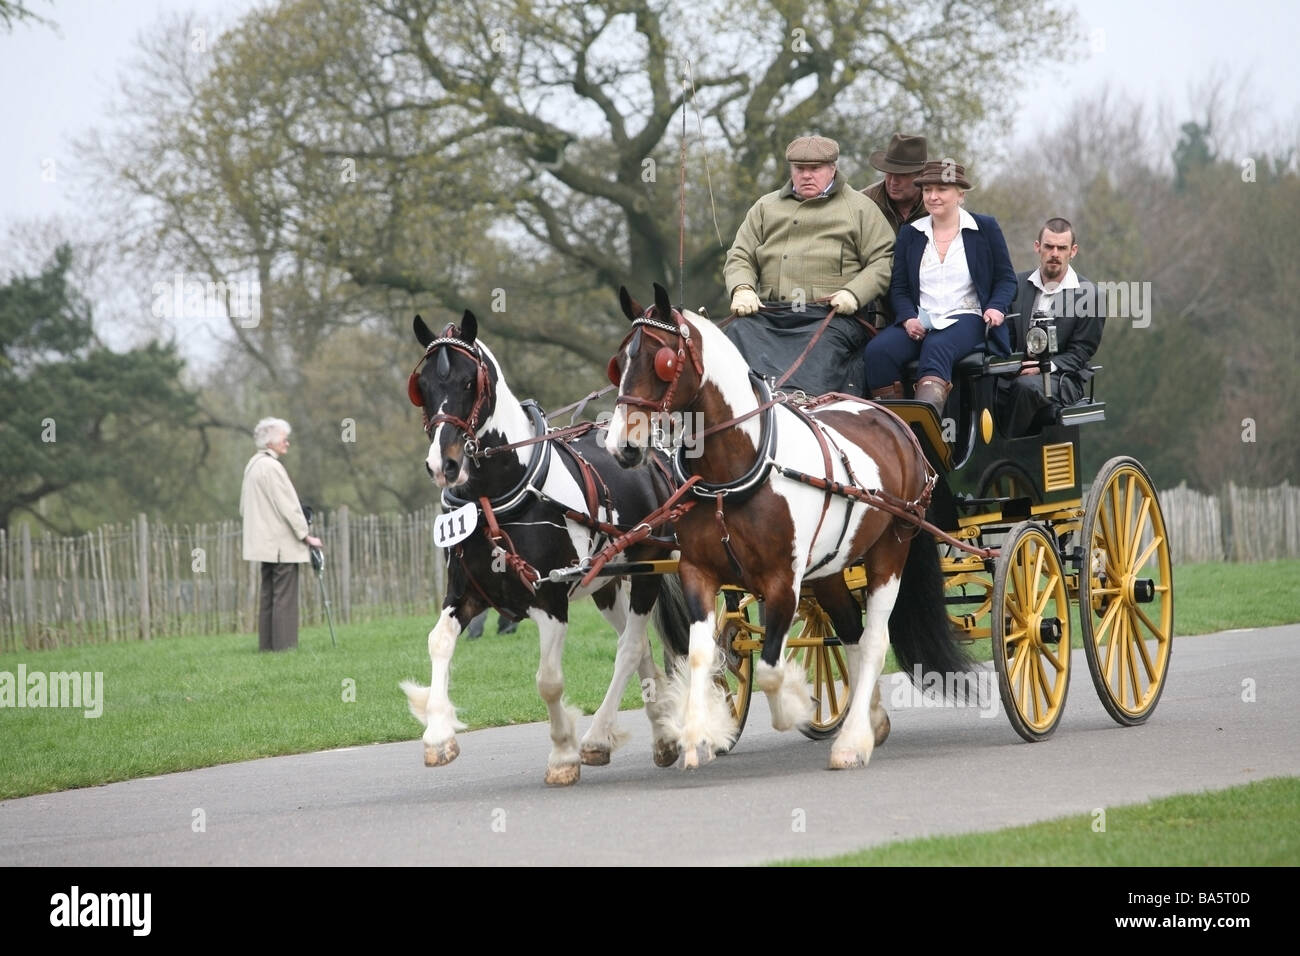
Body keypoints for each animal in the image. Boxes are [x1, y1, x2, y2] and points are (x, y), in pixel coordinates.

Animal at [400, 310, 690, 785]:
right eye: (421, 385)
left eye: (469, 382)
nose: (444, 464)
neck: (495, 496)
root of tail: (657, 461)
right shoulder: (466, 593)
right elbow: (438, 641)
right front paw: (439, 735)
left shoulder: (551, 598)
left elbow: (549, 680)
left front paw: (563, 755)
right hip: (607, 585)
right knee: (642, 648)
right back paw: (663, 737)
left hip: (649, 569)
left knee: (629, 650)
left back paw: (596, 739)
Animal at [604, 283, 976, 770]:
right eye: (619, 361)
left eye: (663, 360)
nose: (621, 447)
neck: (739, 466)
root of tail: (892, 417)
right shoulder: (697, 573)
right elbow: (705, 655)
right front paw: (701, 733)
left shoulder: (783, 581)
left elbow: (768, 668)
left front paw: (796, 706)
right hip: (833, 567)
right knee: (852, 633)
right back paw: (873, 722)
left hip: (891, 549)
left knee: (875, 640)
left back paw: (852, 742)